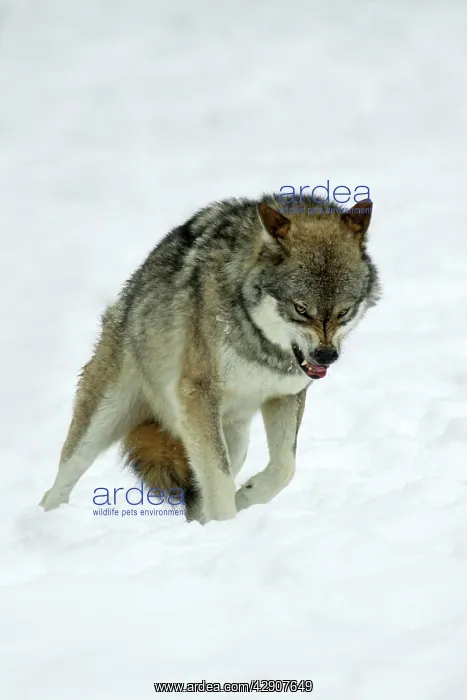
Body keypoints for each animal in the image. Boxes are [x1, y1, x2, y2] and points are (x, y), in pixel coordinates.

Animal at [40, 194, 380, 522]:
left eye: (344, 311)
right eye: (301, 309)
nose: (326, 356)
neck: (260, 341)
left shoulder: (285, 396)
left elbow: (284, 468)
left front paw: (245, 497)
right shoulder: (197, 395)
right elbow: (219, 480)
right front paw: (228, 524)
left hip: (234, 439)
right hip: (104, 421)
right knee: (59, 482)